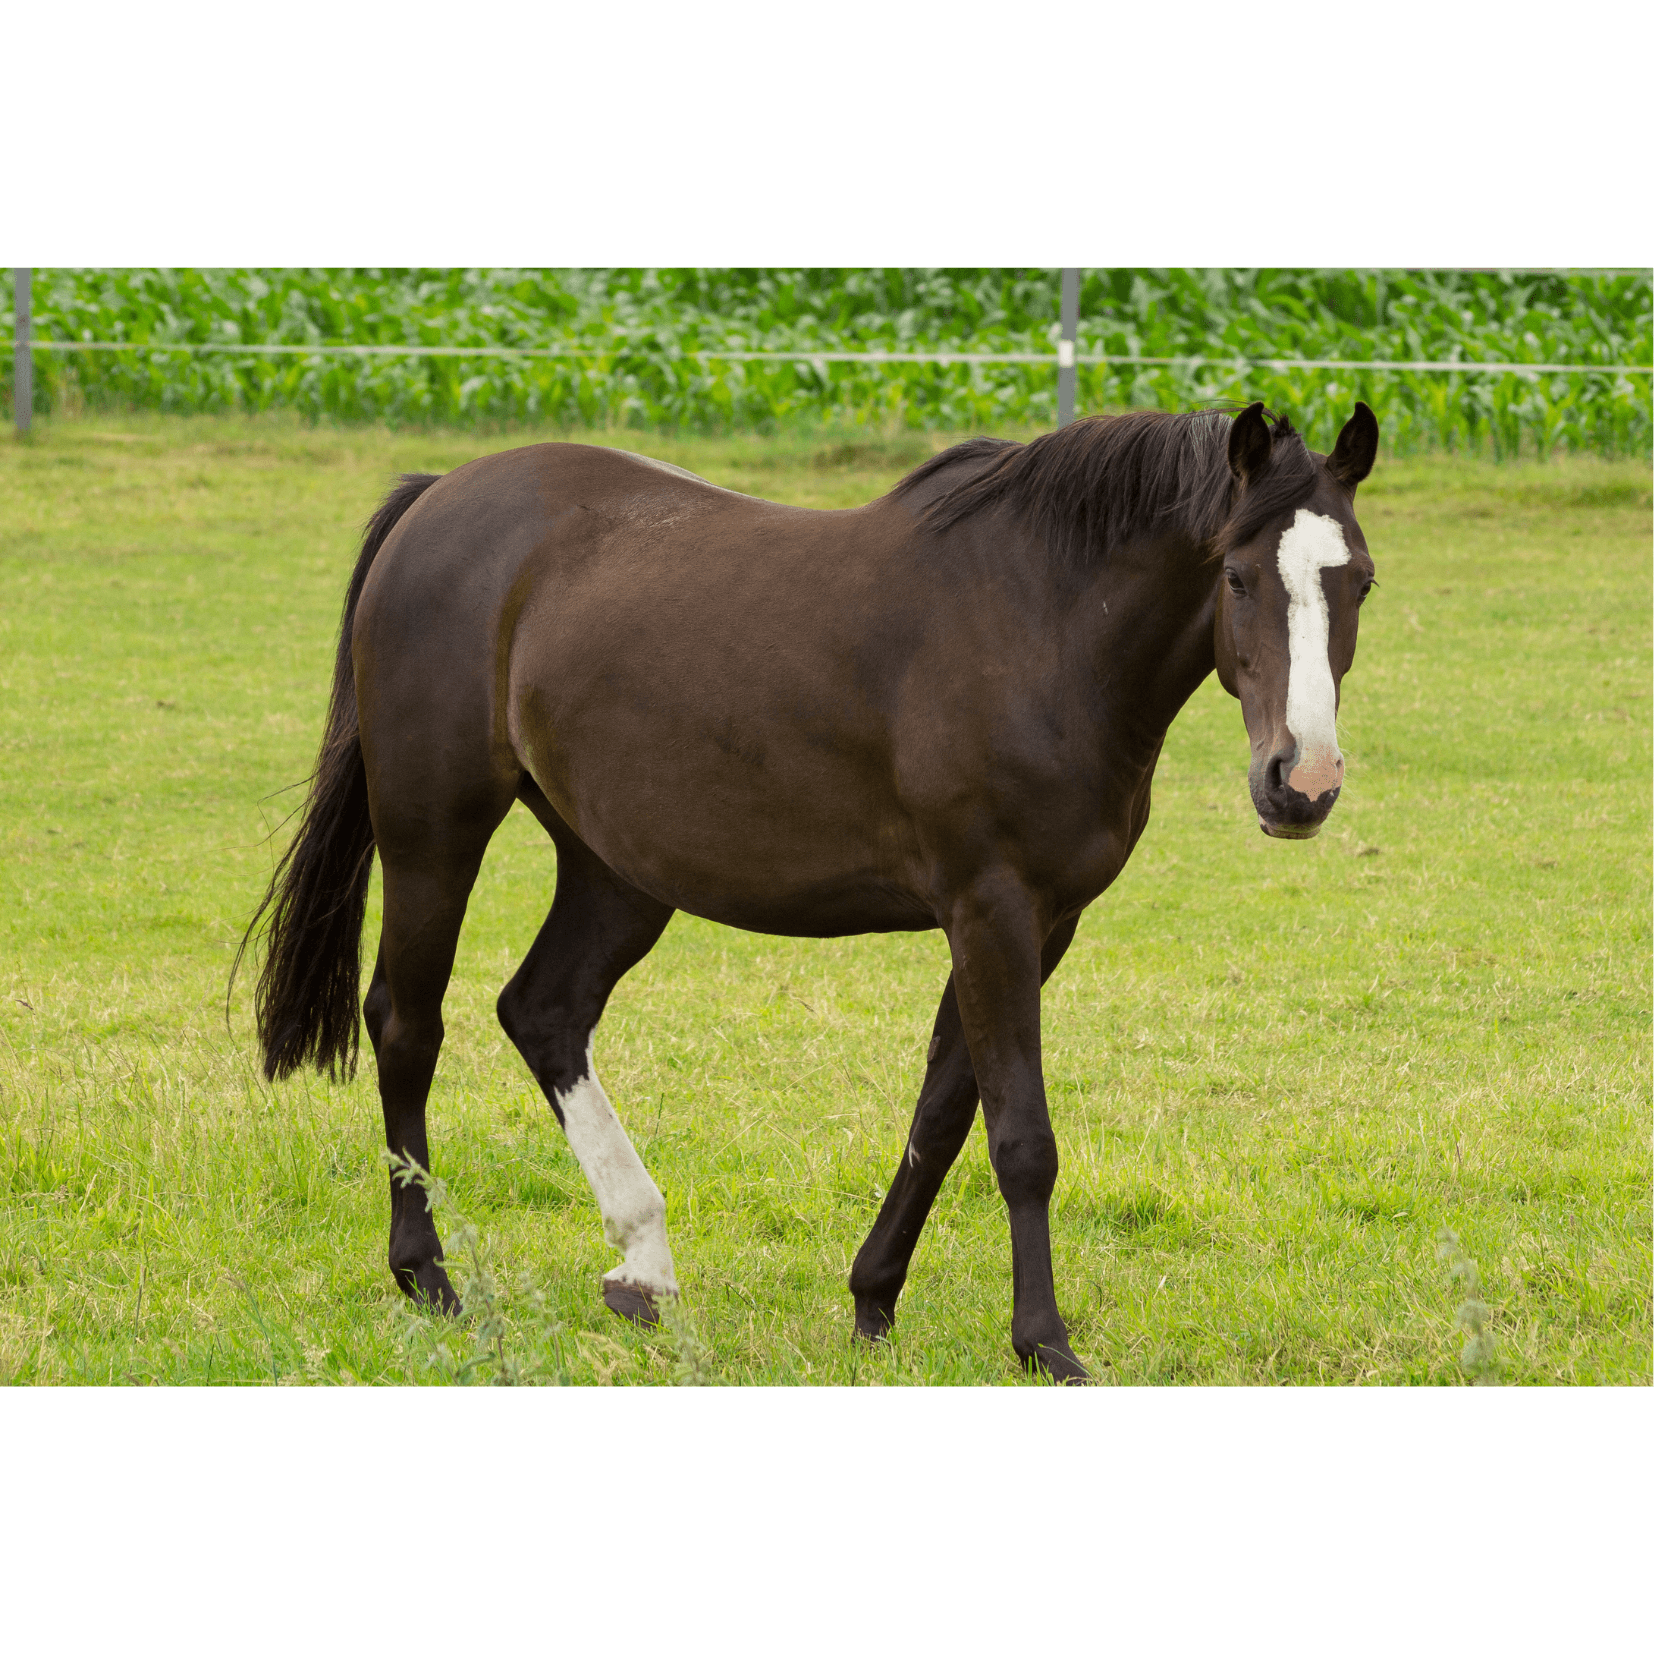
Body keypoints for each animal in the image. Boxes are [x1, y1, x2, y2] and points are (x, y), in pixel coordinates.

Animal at [241, 400, 1382, 1382]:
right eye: (1236, 575)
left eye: (1358, 581)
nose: (1302, 783)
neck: (1040, 623)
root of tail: (437, 498)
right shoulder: (991, 909)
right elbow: (1019, 1137)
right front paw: (1044, 1343)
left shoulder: (1037, 922)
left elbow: (943, 1111)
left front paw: (874, 1299)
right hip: (434, 833)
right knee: (407, 1022)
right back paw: (427, 1274)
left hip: (615, 869)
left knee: (544, 1012)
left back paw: (643, 1263)